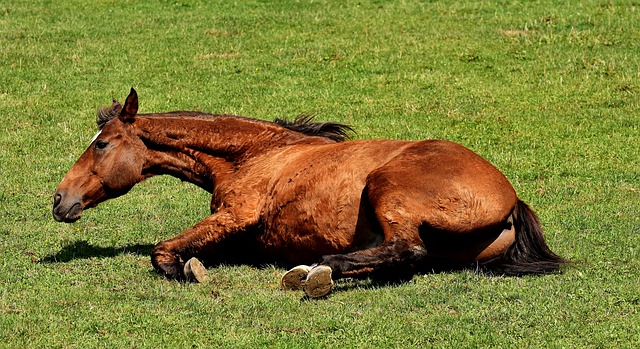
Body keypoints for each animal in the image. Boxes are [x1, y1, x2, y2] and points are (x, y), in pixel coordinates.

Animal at [51, 88, 564, 298]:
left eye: (101, 144)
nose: (59, 200)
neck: (256, 152)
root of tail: (511, 200)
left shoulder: (237, 215)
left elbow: (162, 251)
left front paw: (186, 269)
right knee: (400, 260)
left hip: (387, 189)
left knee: (406, 250)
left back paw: (318, 271)